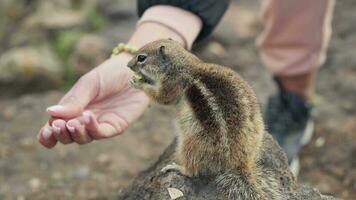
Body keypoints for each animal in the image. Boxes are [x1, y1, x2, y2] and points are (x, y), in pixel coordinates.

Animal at [126, 39, 282, 200]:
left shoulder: (171, 84)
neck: (181, 64)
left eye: (141, 57)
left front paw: (138, 83)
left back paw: (177, 167)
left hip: (192, 144)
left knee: (192, 170)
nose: (128, 65)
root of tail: (238, 163)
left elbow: (162, 98)